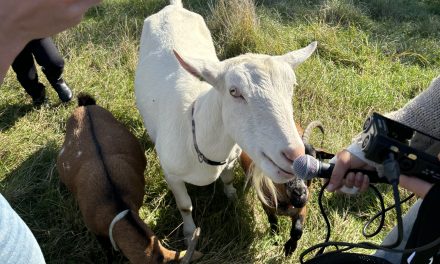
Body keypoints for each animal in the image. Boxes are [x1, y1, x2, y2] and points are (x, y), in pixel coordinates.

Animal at [134, 0, 316, 241]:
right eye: (234, 91)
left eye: (292, 87)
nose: (295, 156)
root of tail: (173, 7)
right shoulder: (171, 174)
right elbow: (185, 206)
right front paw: (190, 234)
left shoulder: (230, 160)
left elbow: (228, 181)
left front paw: (232, 198)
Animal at [241, 120, 334, 255]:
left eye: (313, 163)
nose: (299, 193)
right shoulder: (266, 206)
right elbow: (273, 222)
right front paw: (276, 240)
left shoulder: (302, 208)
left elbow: (297, 230)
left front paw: (289, 248)